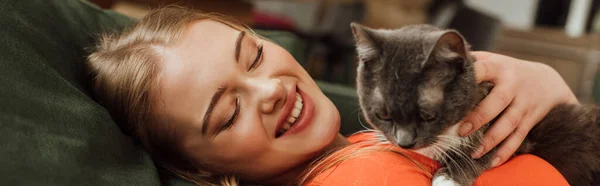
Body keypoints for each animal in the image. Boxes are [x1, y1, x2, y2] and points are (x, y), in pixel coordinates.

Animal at [350, 23, 600, 186]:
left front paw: (448, 179)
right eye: (383, 115)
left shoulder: (513, 132)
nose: (405, 143)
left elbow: (479, 153)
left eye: (428, 116)